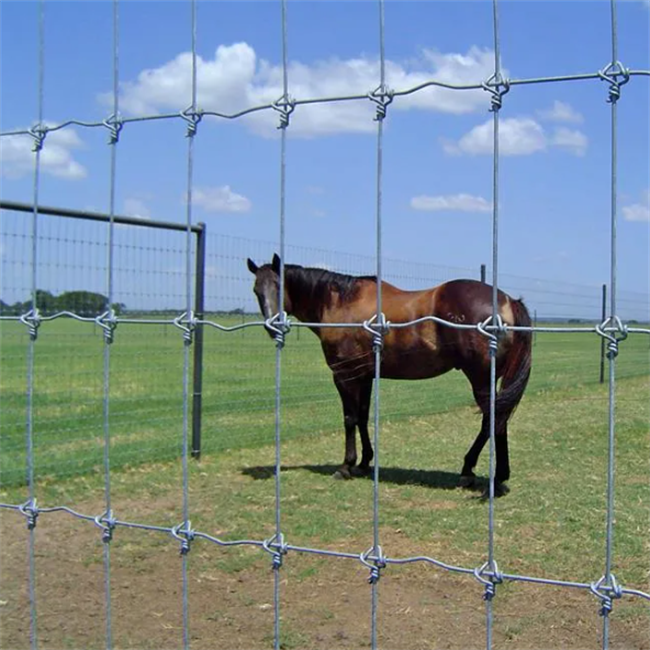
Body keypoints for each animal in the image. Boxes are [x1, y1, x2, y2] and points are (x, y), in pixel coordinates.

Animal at [247, 253, 532, 496]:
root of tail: (507, 301)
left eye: (279, 286)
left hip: (480, 379)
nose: (273, 327)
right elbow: (362, 416)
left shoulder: (344, 375)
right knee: (496, 421)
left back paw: (478, 472)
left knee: (492, 421)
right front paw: (364, 462)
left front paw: (345, 466)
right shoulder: (364, 376)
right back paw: (488, 474)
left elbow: (349, 419)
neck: (342, 303)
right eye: (256, 290)